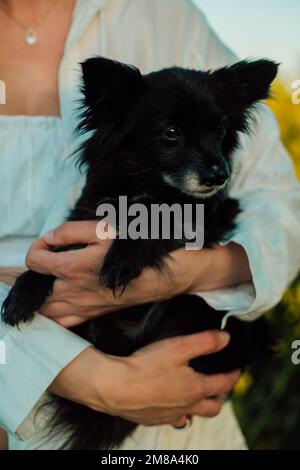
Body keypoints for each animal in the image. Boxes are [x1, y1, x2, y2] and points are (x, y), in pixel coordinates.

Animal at [1, 57, 278, 450]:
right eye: (171, 133)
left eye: (221, 128)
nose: (219, 174)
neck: (146, 185)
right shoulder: (84, 216)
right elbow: (55, 251)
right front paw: (24, 290)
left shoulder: (211, 216)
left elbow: (154, 218)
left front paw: (122, 258)